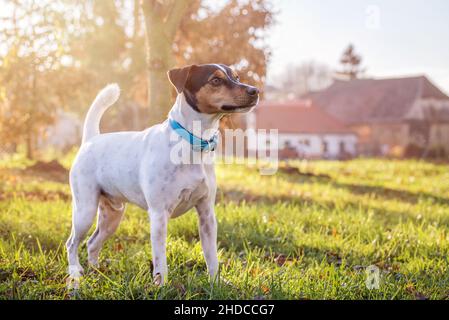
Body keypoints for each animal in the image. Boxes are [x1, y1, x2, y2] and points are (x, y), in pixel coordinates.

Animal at [66, 63, 260, 284]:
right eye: (216, 80)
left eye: (237, 77)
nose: (255, 91)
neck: (191, 142)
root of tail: (91, 139)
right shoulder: (159, 214)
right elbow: (160, 258)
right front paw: (161, 284)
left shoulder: (207, 214)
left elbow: (211, 256)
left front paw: (216, 282)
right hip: (85, 210)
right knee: (72, 243)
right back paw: (75, 273)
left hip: (112, 216)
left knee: (92, 243)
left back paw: (97, 271)